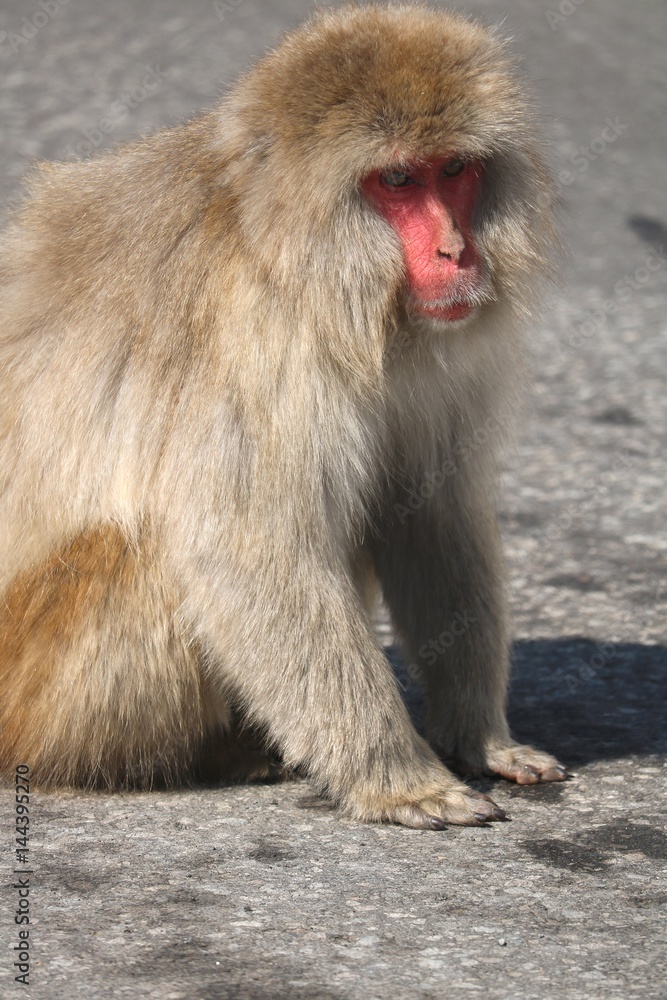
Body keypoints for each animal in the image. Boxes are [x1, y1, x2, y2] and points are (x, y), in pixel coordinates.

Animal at [0, 5, 568, 828]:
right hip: (39, 691)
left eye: (454, 169)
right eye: (398, 180)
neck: (285, 251)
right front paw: (399, 776)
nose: (454, 253)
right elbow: (248, 551)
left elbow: (428, 510)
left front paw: (479, 737)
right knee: (160, 553)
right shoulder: (253, 343)